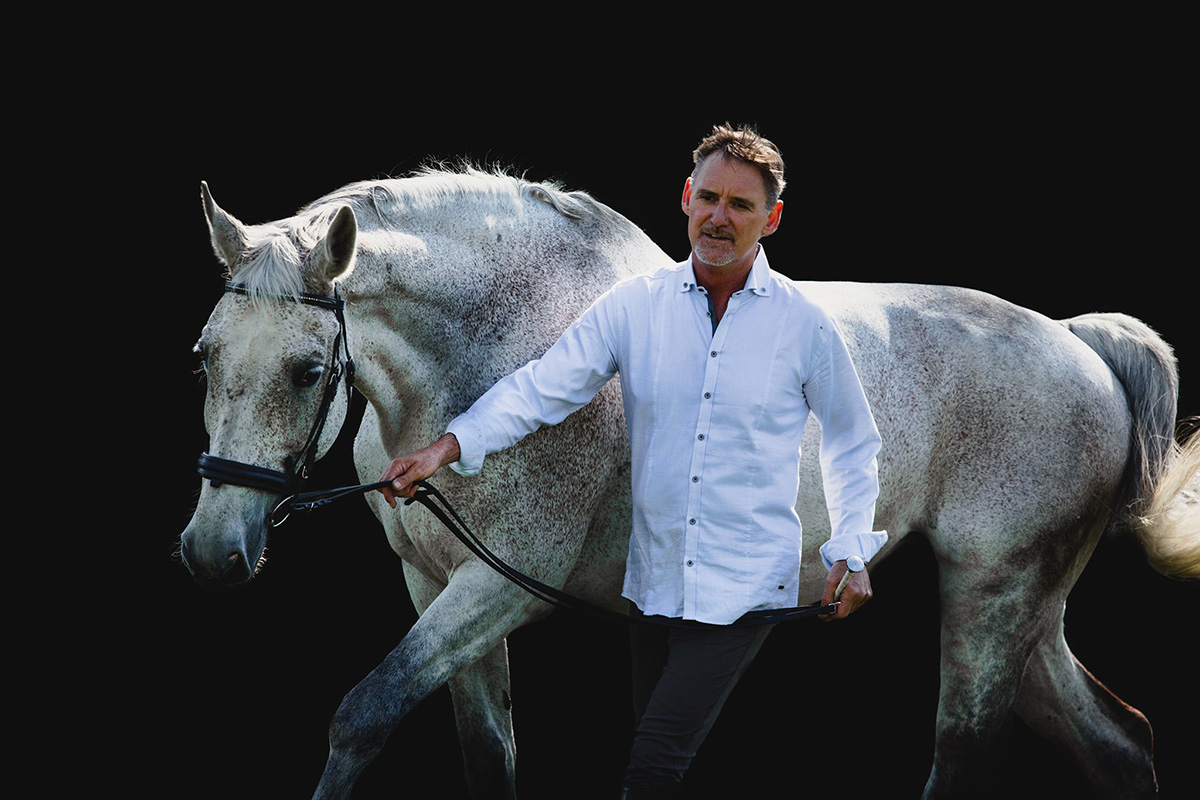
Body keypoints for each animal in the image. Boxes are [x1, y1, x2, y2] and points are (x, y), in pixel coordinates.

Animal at [180, 165, 1200, 796]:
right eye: (203, 357)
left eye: (307, 370)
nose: (212, 553)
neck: (498, 349)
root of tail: (1078, 343)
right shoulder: (431, 582)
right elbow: (486, 753)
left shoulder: (498, 588)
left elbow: (363, 713)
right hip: (1024, 609)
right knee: (1119, 742)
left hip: (993, 597)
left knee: (962, 751)